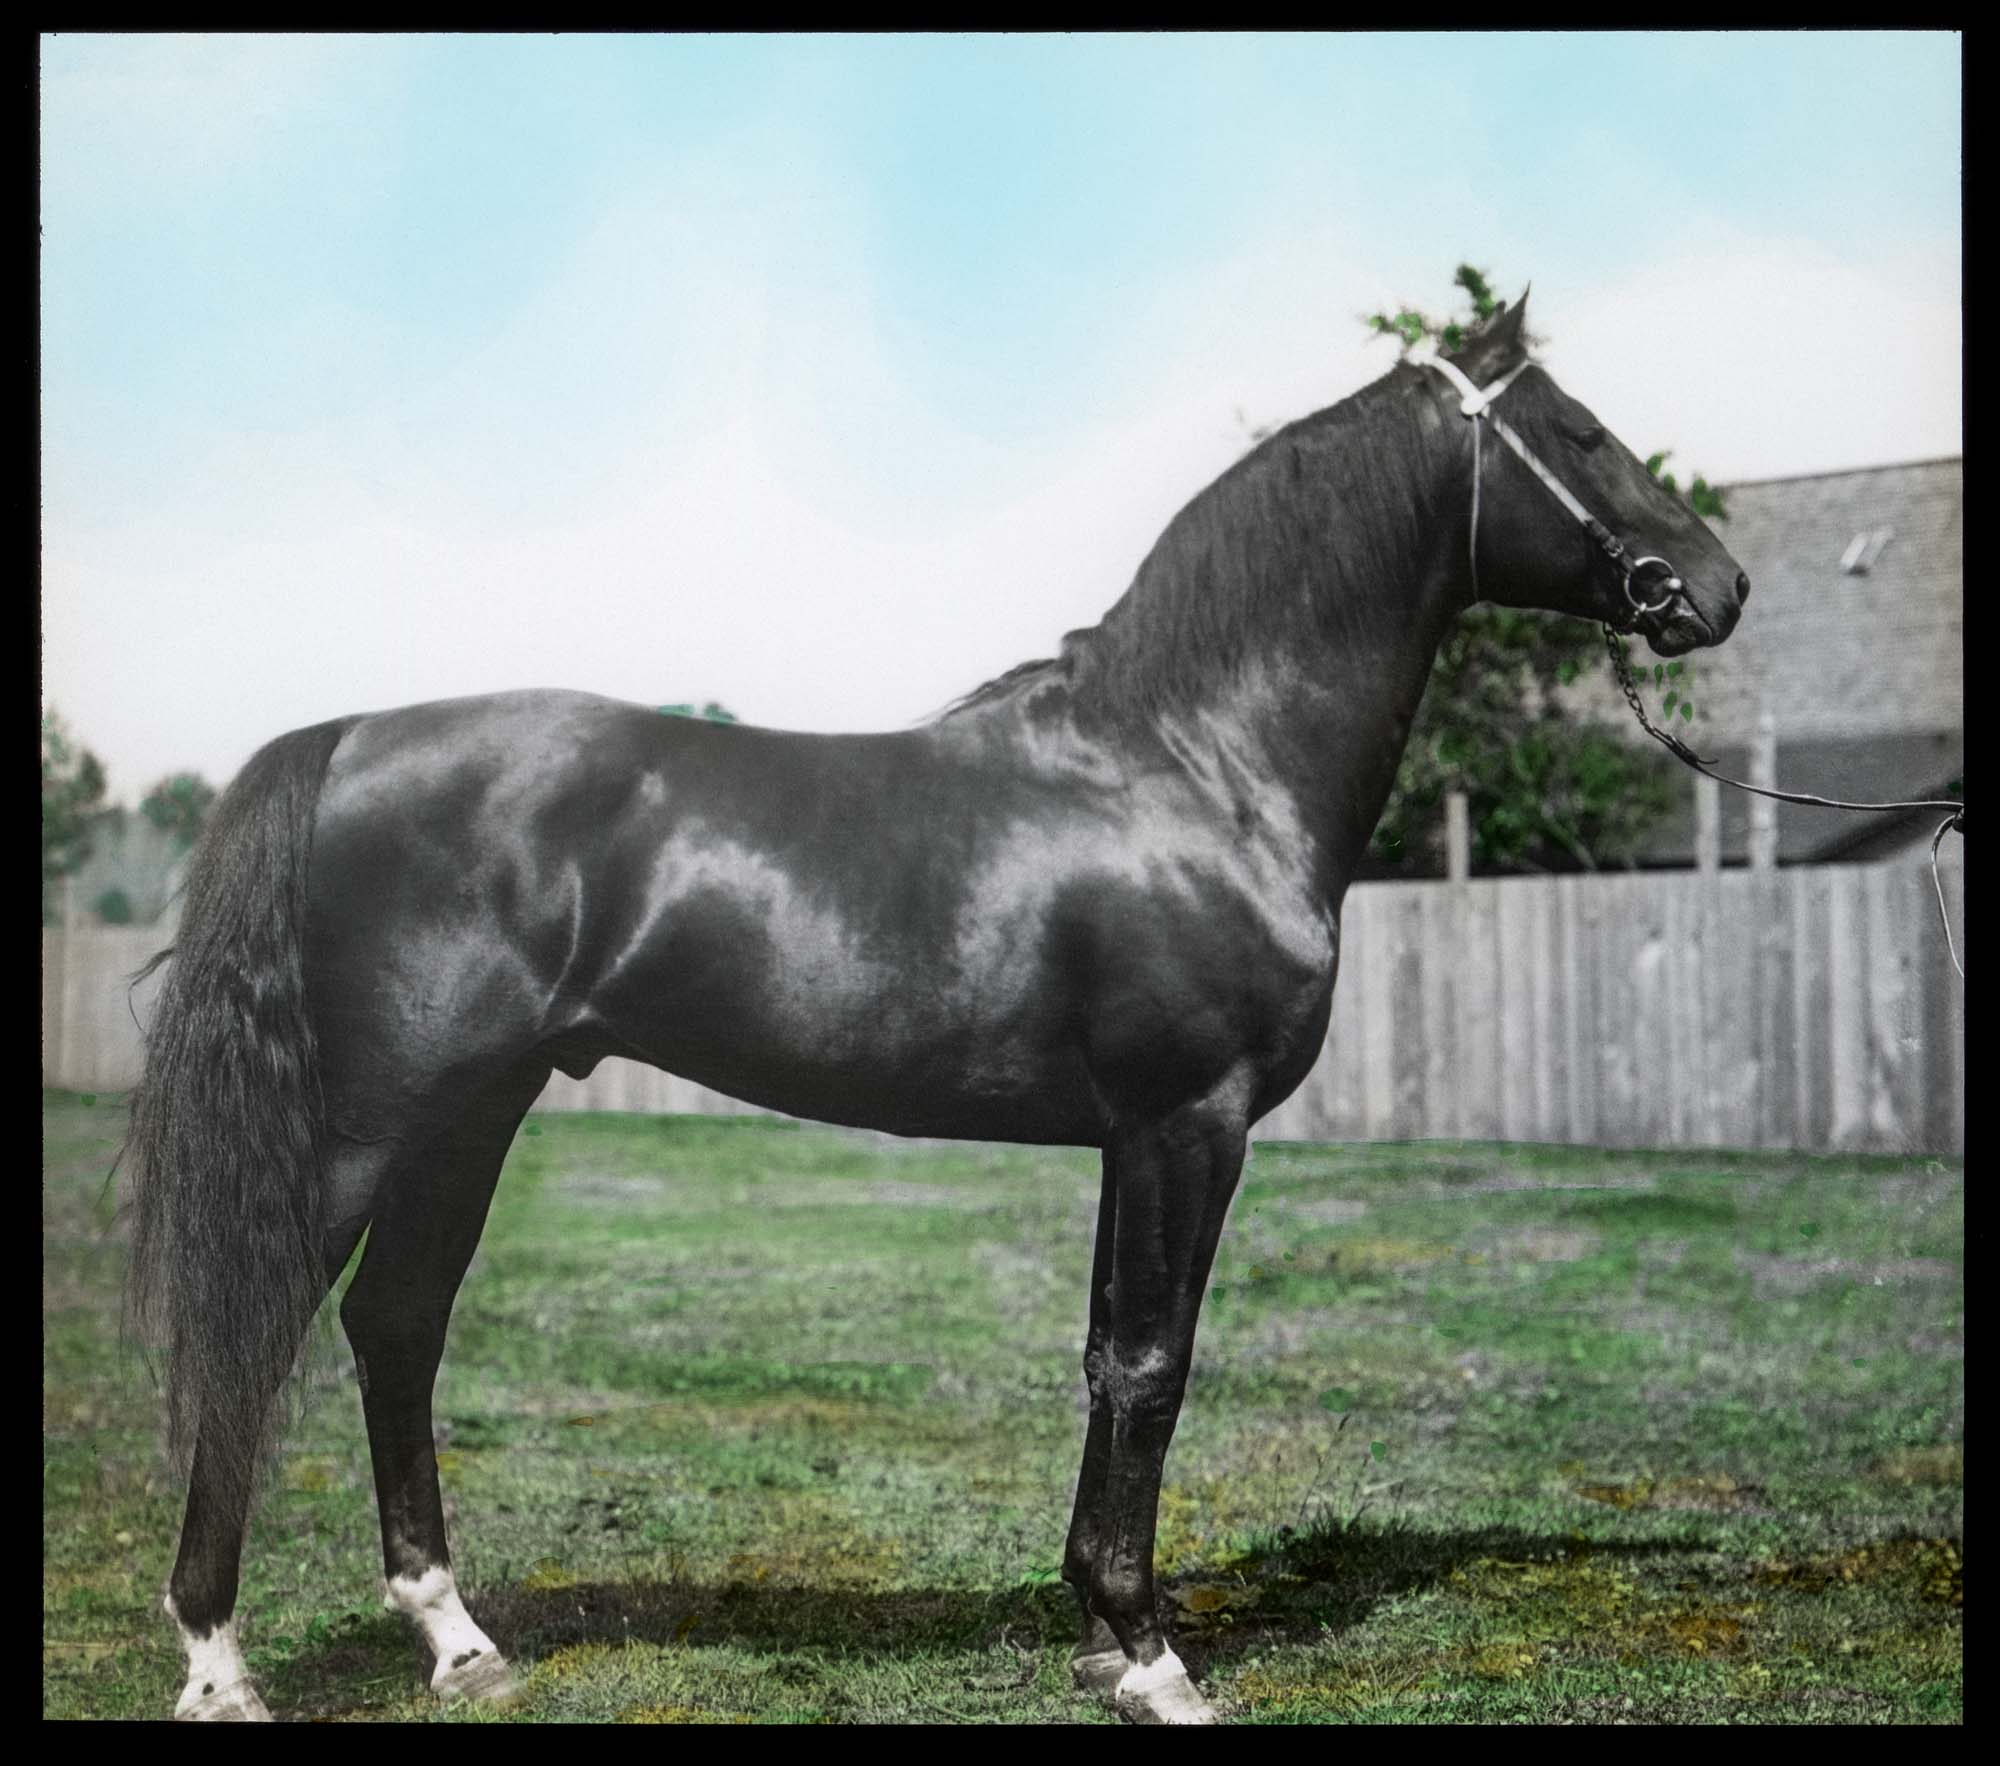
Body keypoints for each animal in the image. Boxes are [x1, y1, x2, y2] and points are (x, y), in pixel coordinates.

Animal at [123, 293, 1751, 1724]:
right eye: (1578, 431)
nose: (1716, 586)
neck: (1194, 763)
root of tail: (346, 735)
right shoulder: (1187, 1121)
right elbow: (1155, 1364)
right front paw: (1153, 1657)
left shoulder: (1128, 1138)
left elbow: (1104, 1355)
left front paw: (1097, 1632)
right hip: (369, 1125)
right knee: (266, 1332)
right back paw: (217, 1663)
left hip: (476, 1110)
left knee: (397, 1323)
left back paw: (459, 1642)